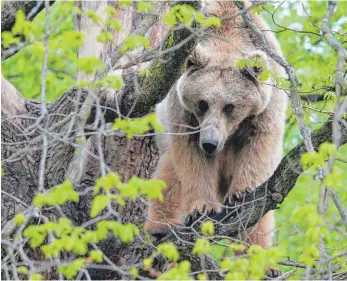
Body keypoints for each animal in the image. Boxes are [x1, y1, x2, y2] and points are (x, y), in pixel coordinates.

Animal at [144, 1, 288, 248]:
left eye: (230, 106)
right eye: (202, 103)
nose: (210, 143)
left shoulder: (266, 105)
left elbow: (258, 145)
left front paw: (239, 194)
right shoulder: (184, 112)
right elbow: (192, 157)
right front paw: (202, 208)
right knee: (169, 177)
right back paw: (161, 226)